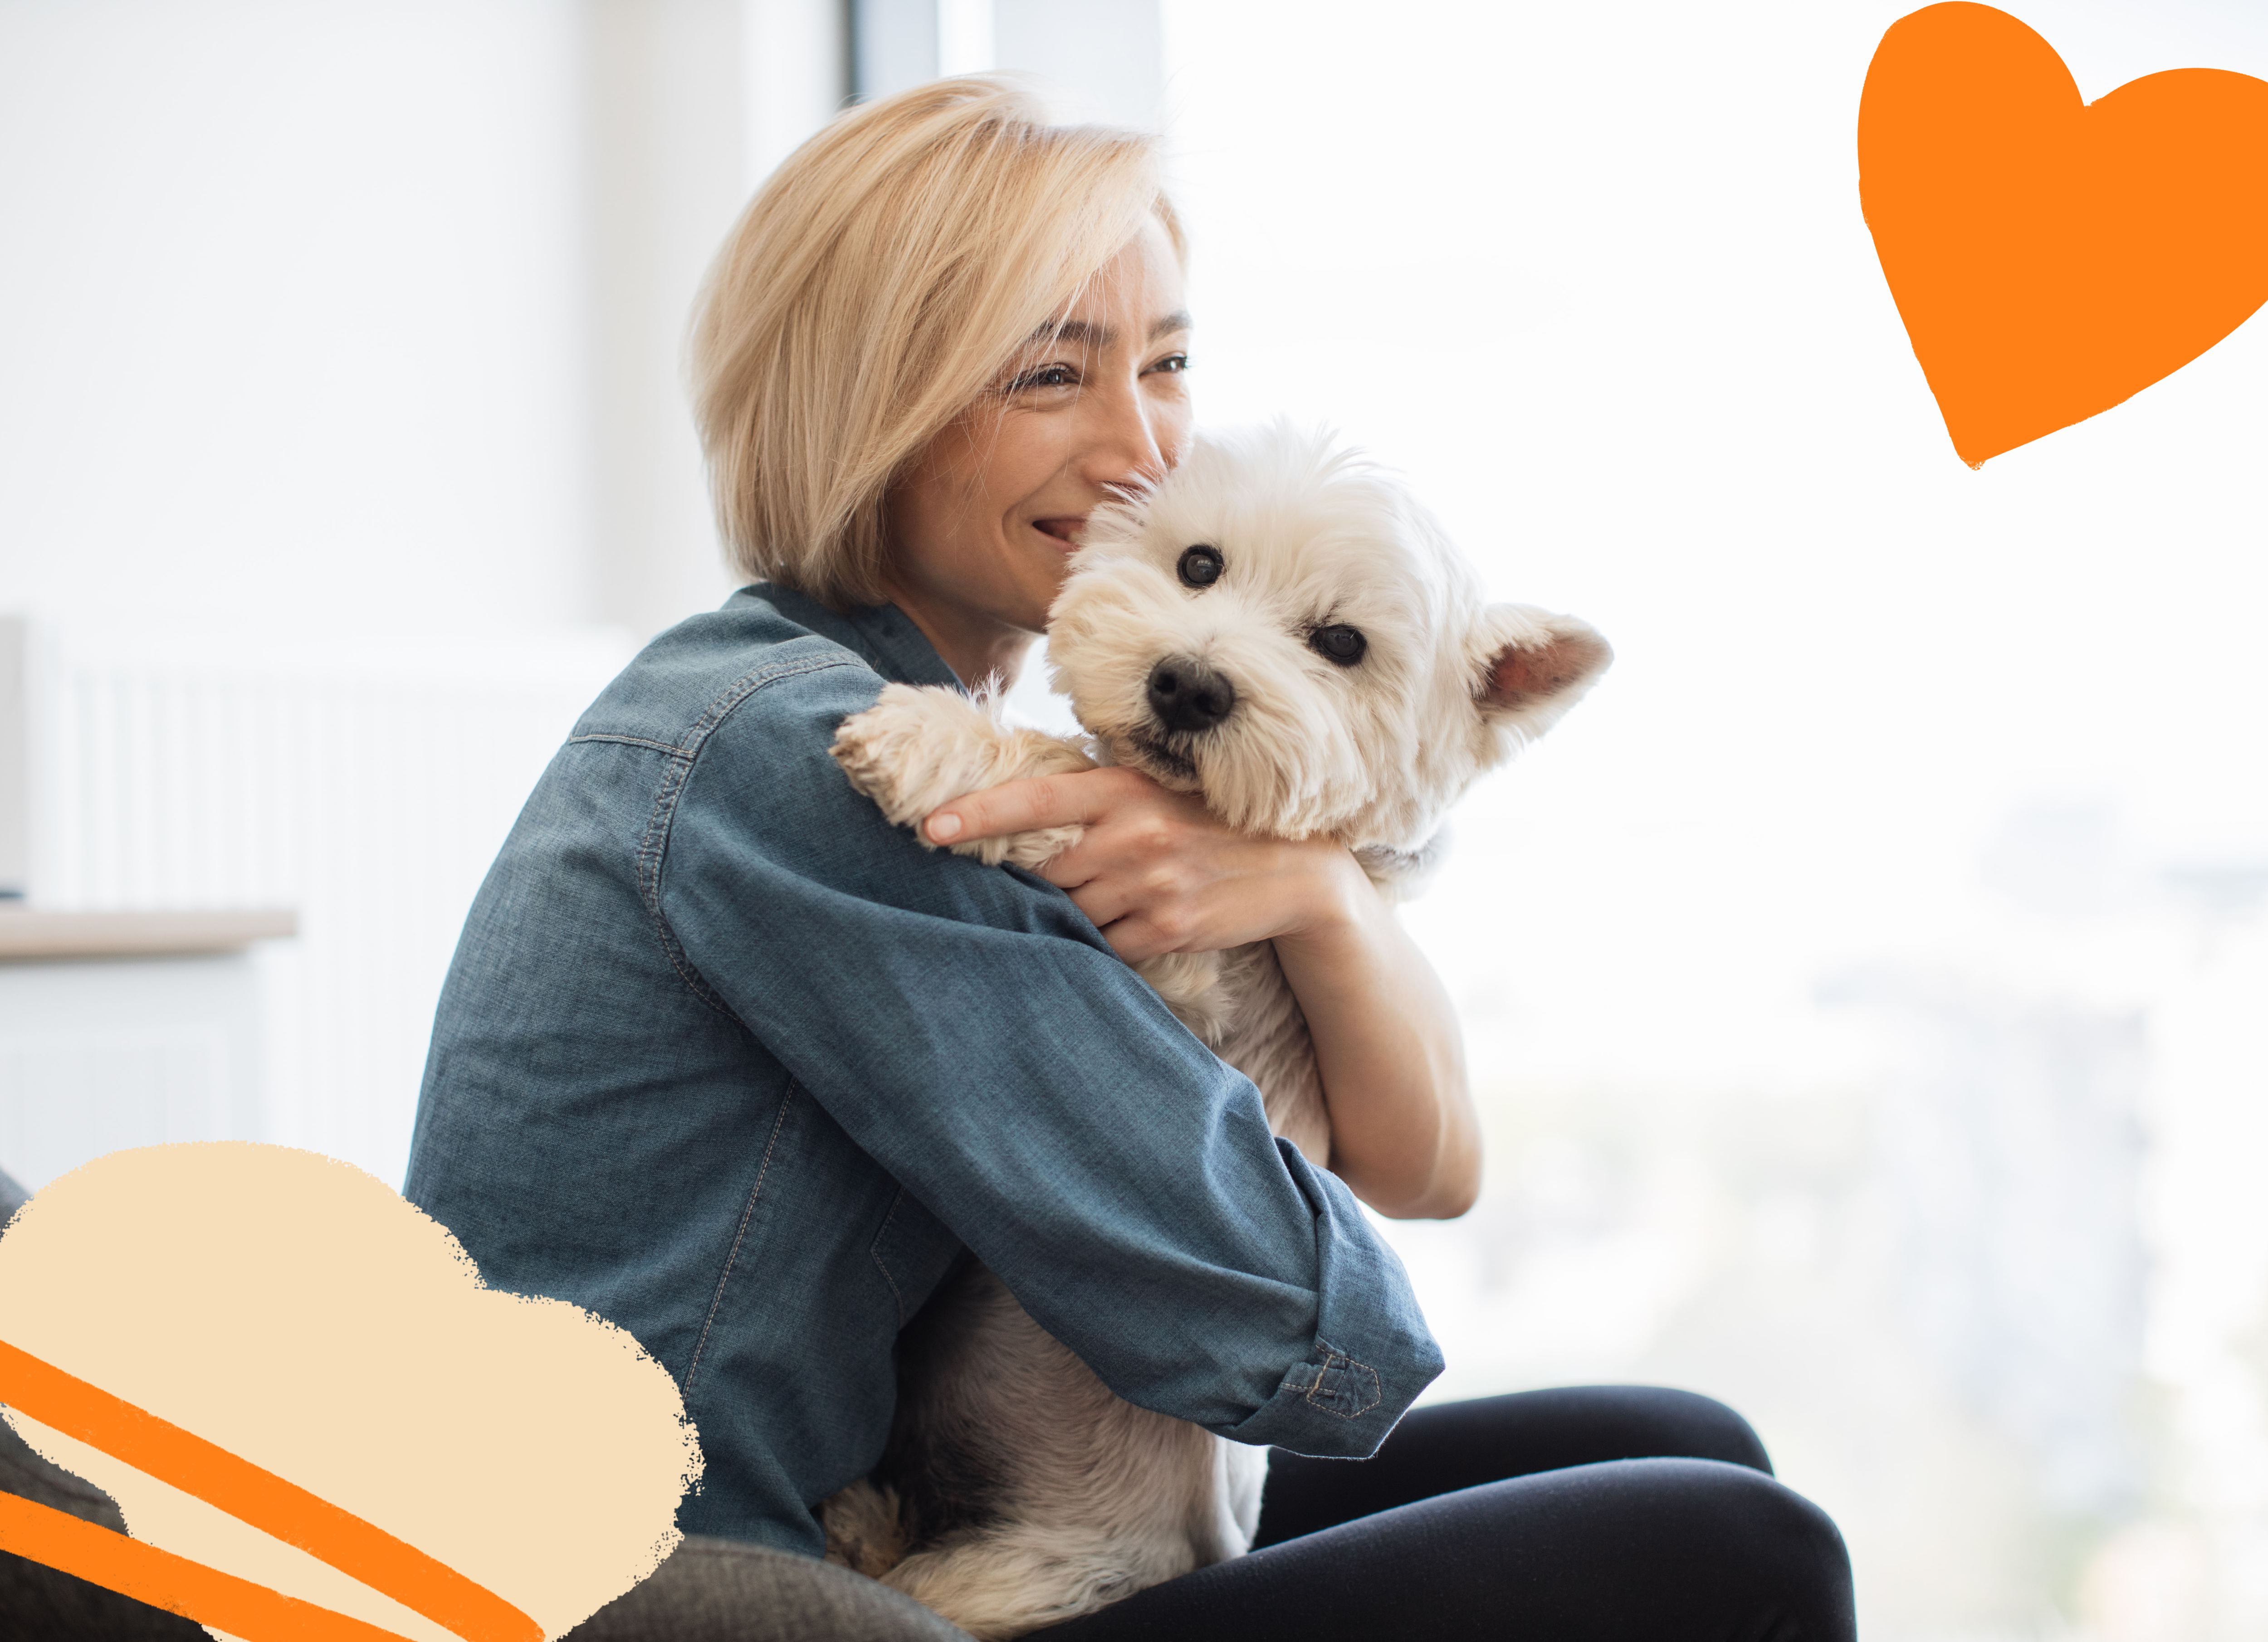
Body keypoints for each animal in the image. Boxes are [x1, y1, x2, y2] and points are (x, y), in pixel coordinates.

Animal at [826, 426, 1606, 1642]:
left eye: (1342, 643)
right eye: (1199, 564)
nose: (1188, 685)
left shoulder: (1183, 978)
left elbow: (1068, 782)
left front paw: (922, 735)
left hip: (1040, 1566)